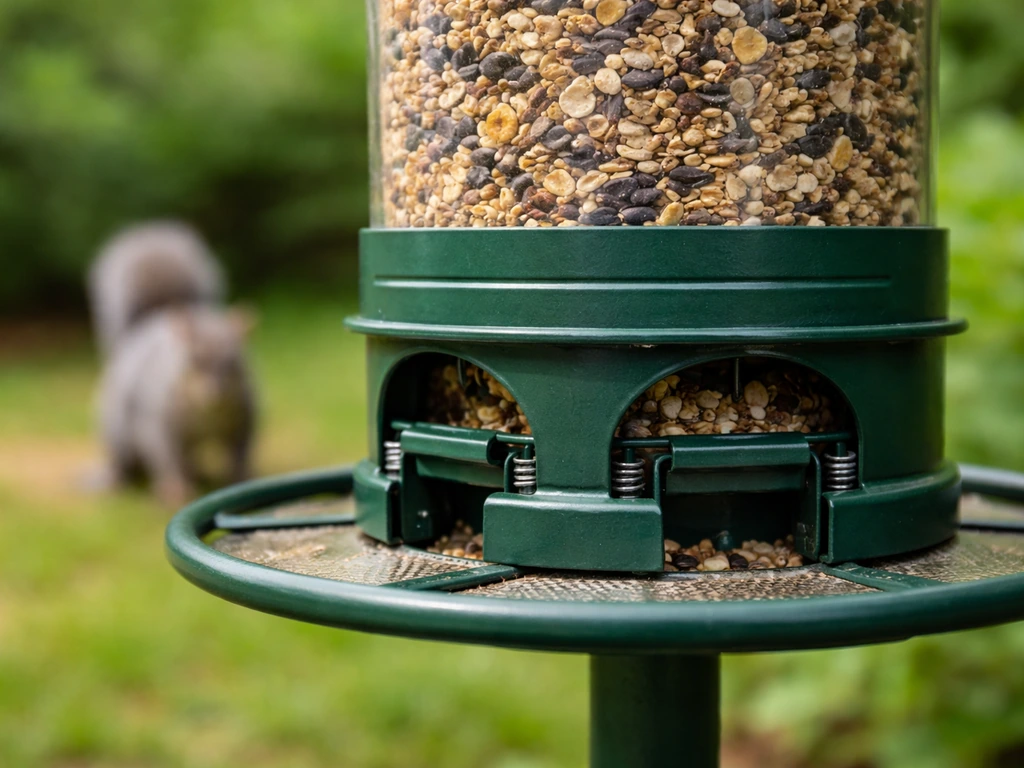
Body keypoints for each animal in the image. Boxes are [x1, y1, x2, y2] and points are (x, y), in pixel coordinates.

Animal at [89, 223, 256, 508]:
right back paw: (110, 480)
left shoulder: (244, 416)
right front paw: (176, 489)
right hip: (119, 428)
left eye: (234, 361)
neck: (207, 413)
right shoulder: (158, 421)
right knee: (125, 463)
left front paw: (240, 478)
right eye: (194, 360)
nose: (215, 393)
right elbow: (167, 456)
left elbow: (240, 451)